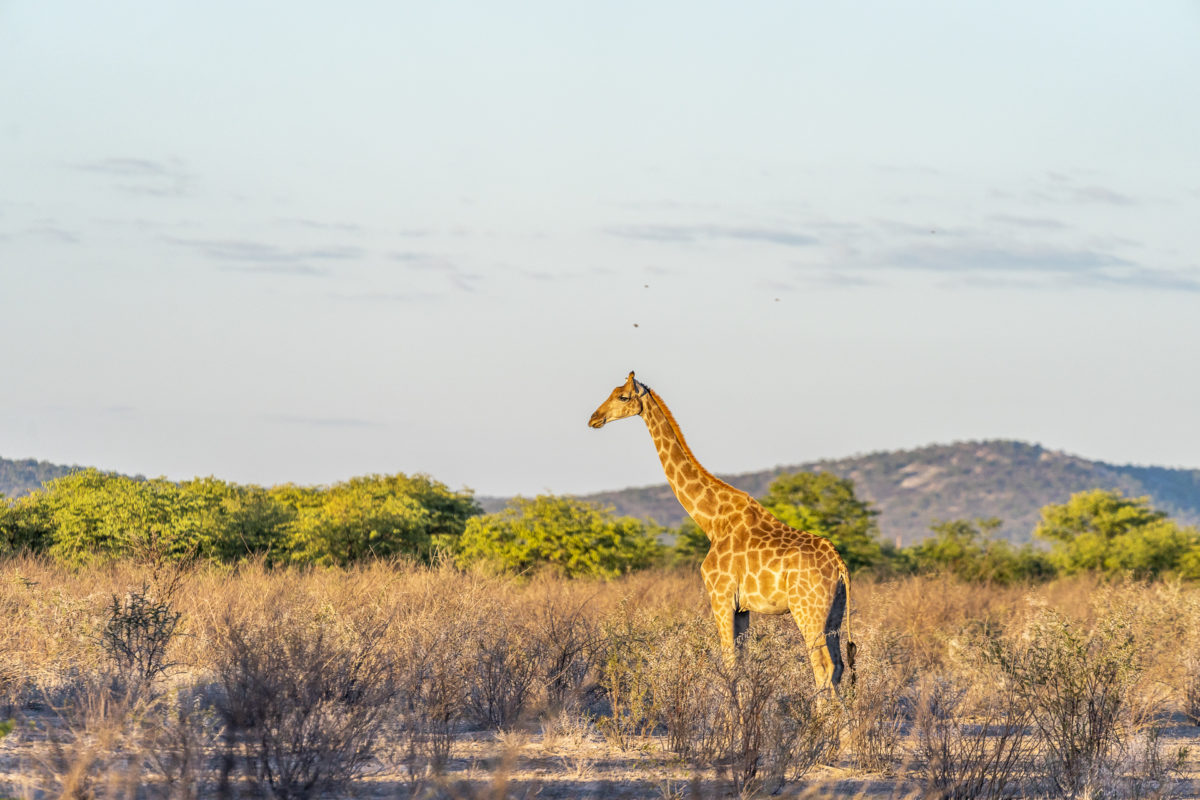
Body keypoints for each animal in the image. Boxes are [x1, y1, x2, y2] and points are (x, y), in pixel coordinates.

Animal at [588, 371, 854, 690]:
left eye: (623, 396)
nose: (594, 418)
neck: (712, 521)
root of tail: (839, 565)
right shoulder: (742, 608)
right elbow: (742, 665)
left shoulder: (721, 597)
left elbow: (729, 666)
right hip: (834, 611)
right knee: (839, 667)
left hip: (807, 609)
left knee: (823, 668)